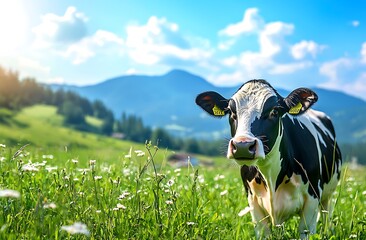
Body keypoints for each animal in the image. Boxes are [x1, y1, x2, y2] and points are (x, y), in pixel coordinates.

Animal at [196, 80, 342, 238]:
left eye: (274, 111)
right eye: (231, 111)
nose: (242, 145)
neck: (271, 175)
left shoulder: (312, 199)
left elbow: (305, 231)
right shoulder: (253, 202)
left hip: (328, 194)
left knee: (326, 214)